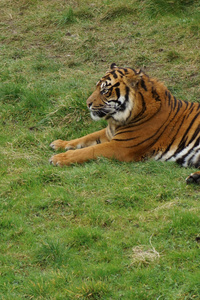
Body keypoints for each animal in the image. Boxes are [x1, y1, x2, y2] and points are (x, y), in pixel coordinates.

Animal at [48, 63, 200, 183]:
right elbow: (85, 138)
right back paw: (194, 178)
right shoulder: (109, 133)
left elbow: (88, 150)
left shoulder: (120, 146)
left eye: (105, 90)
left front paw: (58, 158)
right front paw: (59, 144)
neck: (118, 120)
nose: (87, 103)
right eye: (96, 87)